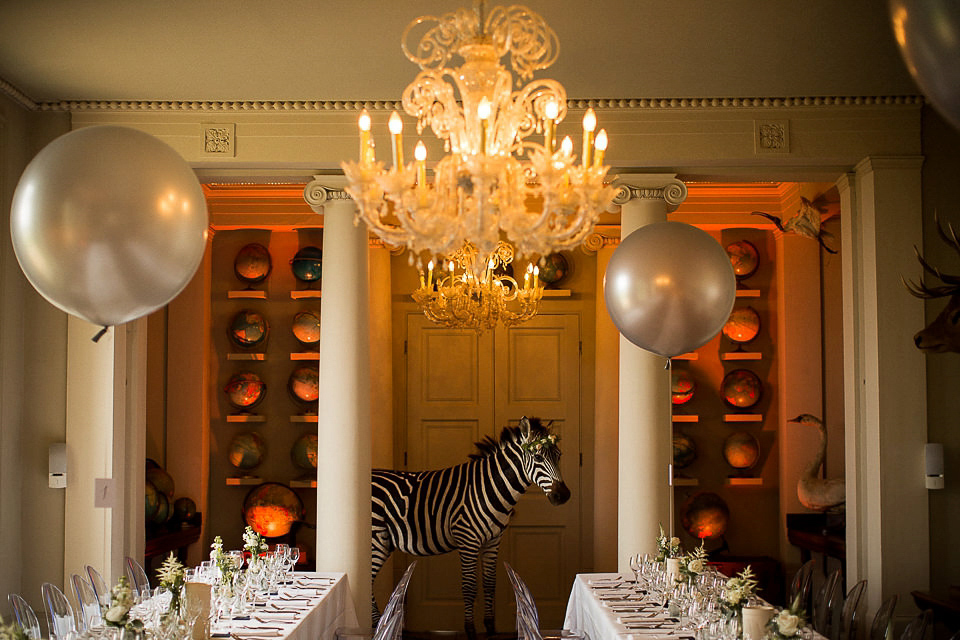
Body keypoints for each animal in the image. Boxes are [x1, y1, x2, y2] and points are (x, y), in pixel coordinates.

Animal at [370, 418, 568, 636]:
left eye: (559, 456)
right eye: (538, 457)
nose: (563, 495)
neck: (489, 488)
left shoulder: (493, 540)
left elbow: (489, 583)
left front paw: (490, 627)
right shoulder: (468, 539)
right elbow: (469, 586)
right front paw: (470, 629)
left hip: (383, 542)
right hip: (376, 540)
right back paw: (377, 625)